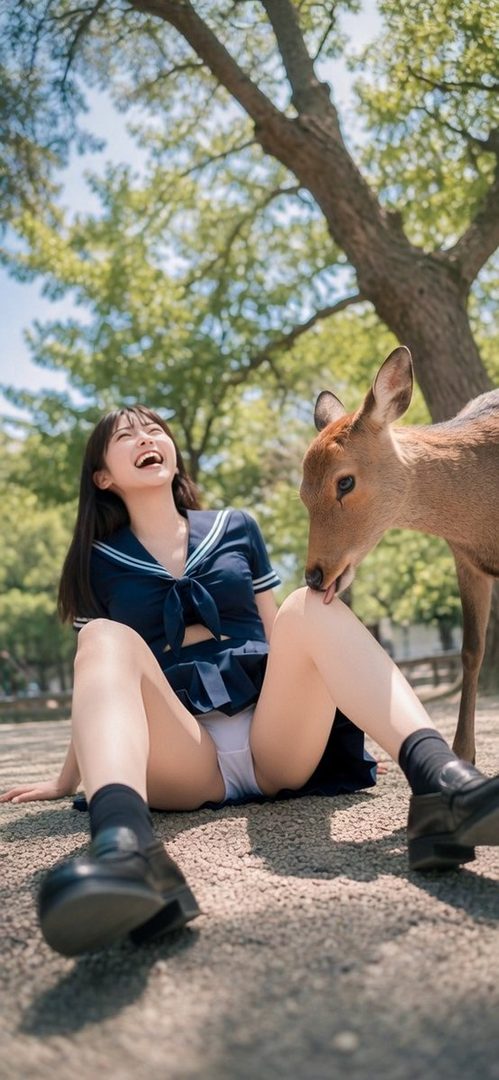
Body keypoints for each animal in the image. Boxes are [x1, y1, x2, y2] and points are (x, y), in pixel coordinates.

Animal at [300, 346, 499, 764]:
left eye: (345, 481)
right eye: (302, 493)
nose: (314, 576)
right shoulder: (466, 561)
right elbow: (470, 650)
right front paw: (463, 754)